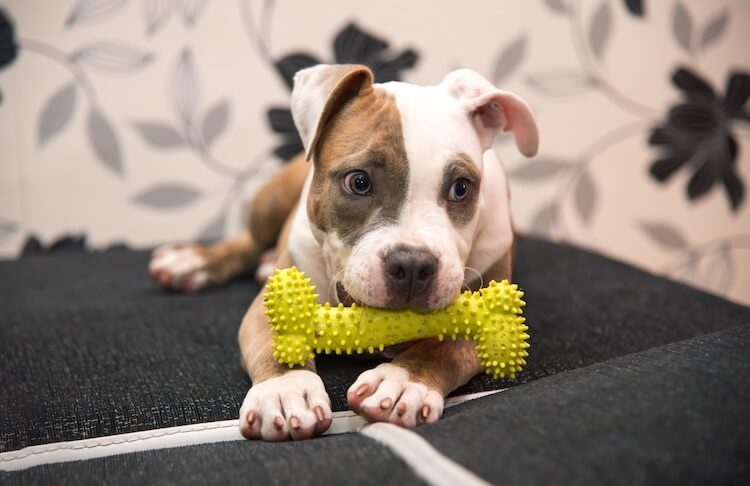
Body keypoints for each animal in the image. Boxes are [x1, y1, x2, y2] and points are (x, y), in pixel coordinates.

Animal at [150, 63, 540, 440]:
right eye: (359, 182)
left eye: (461, 188)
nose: (413, 265)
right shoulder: (272, 301)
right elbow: (277, 340)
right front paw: (285, 389)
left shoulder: (493, 320)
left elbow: (442, 347)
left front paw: (403, 382)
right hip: (269, 201)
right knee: (247, 243)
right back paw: (193, 262)